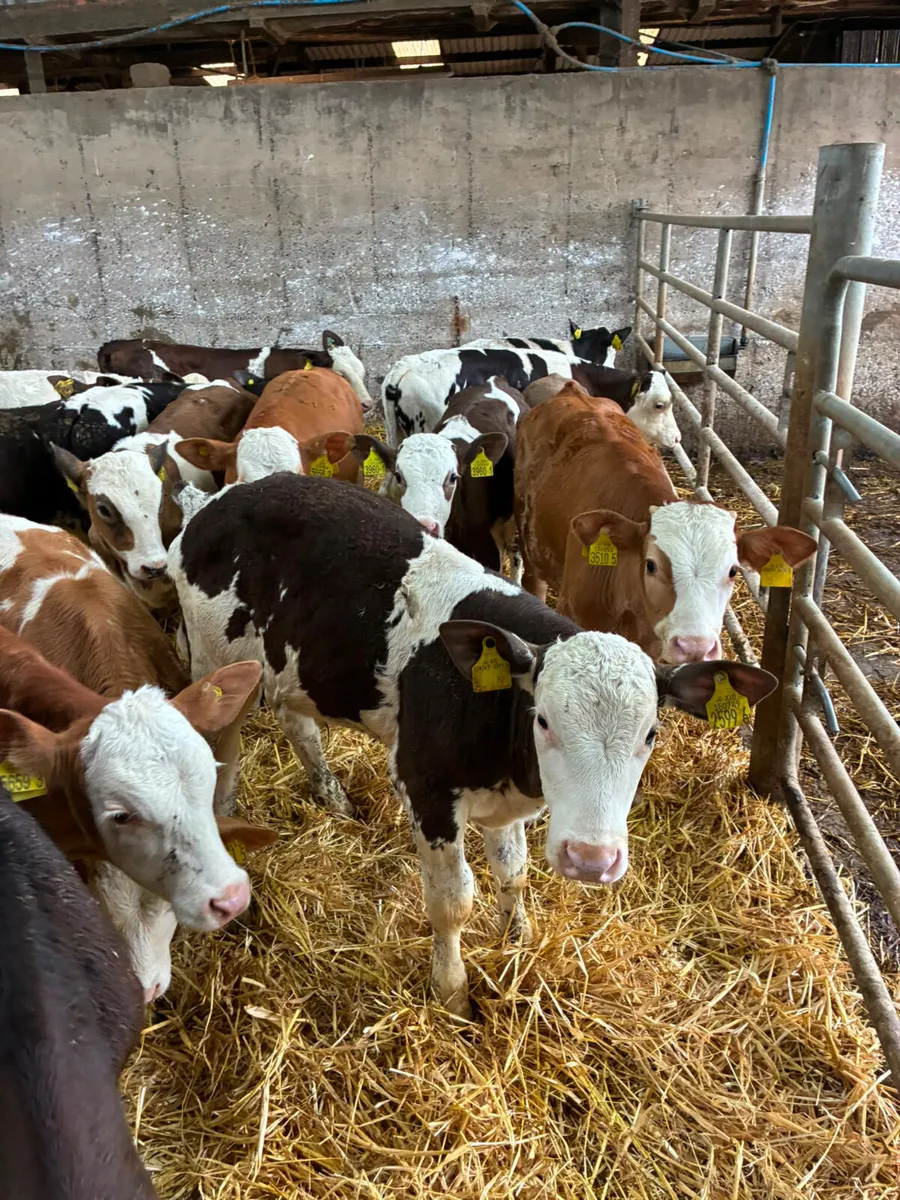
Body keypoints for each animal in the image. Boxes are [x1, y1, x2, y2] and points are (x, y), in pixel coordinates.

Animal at [168, 473, 777, 1017]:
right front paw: (454, 993)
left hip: (288, 668)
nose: (590, 859)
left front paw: (519, 941)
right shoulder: (427, 789)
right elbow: (452, 903)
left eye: (650, 733)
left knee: (297, 725)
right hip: (217, 661)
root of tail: (221, 499)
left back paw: (333, 798)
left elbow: (514, 873)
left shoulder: (505, 804)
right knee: (221, 745)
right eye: (544, 721)